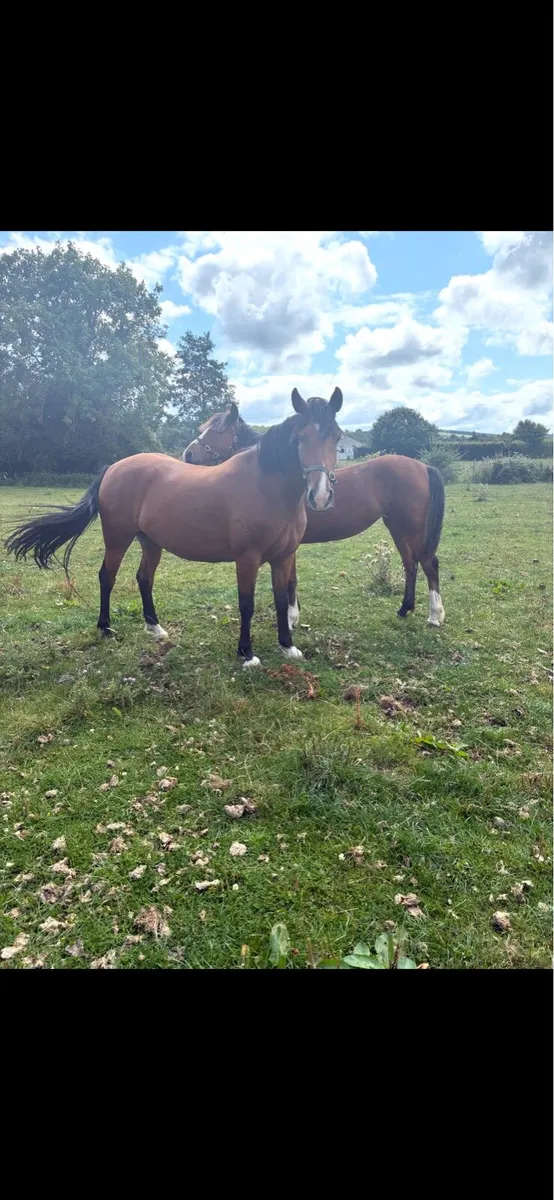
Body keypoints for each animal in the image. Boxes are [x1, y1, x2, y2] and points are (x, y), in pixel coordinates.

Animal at [4, 389, 343, 669]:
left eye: (337, 438)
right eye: (300, 438)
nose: (321, 495)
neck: (266, 486)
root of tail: (114, 467)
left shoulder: (283, 557)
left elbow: (281, 599)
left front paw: (287, 646)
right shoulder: (247, 559)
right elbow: (246, 603)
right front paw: (247, 654)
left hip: (150, 542)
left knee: (144, 578)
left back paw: (155, 628)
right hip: (117, 539)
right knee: (107, 577)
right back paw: (106, 629)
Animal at [183, 406, 446, 628]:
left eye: (219, 430)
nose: (188, 454)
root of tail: (422, 467)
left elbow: (290, 581)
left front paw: (291, 619)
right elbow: (291, 580)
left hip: (413, 528)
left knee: (428, 563)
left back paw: (434, 616)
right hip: (396, 526)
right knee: (410, 564)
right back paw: (404, 609)